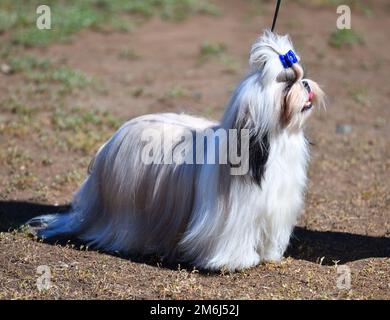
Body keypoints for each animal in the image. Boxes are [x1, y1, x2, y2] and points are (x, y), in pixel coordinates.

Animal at [28, 29, 326, 270]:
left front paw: (267, 255)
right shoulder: (235, 217)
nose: (305, 84)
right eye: (287, 85)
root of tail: (111, 142)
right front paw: (237, 261)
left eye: (301, 76)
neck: (275, 142)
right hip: (126, 210)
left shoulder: (275, 208)